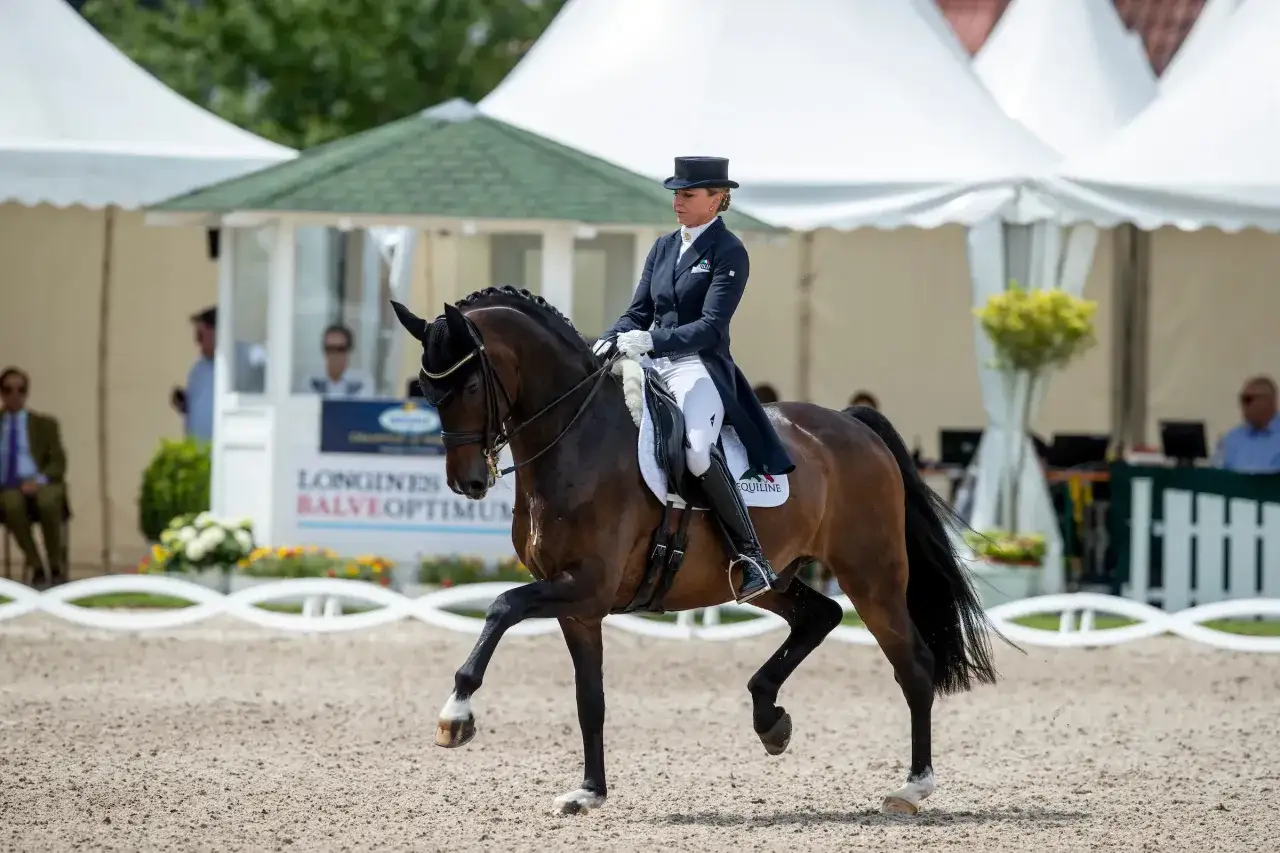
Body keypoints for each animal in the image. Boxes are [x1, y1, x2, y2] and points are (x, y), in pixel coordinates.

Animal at [391, 286, 1004, 817]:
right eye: (429, 391)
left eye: (471, 388)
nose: (467, 483)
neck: (577, 438)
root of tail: (853, 425)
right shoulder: (580, 606)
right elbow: (591, 699)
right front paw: (589, 792)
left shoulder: (585, 584)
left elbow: (502, 607)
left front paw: (456, 715)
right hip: (768, 578)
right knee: (820, 615)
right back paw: (769, 718)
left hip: (871, 573)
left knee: (912, 663)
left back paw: (912, 787)